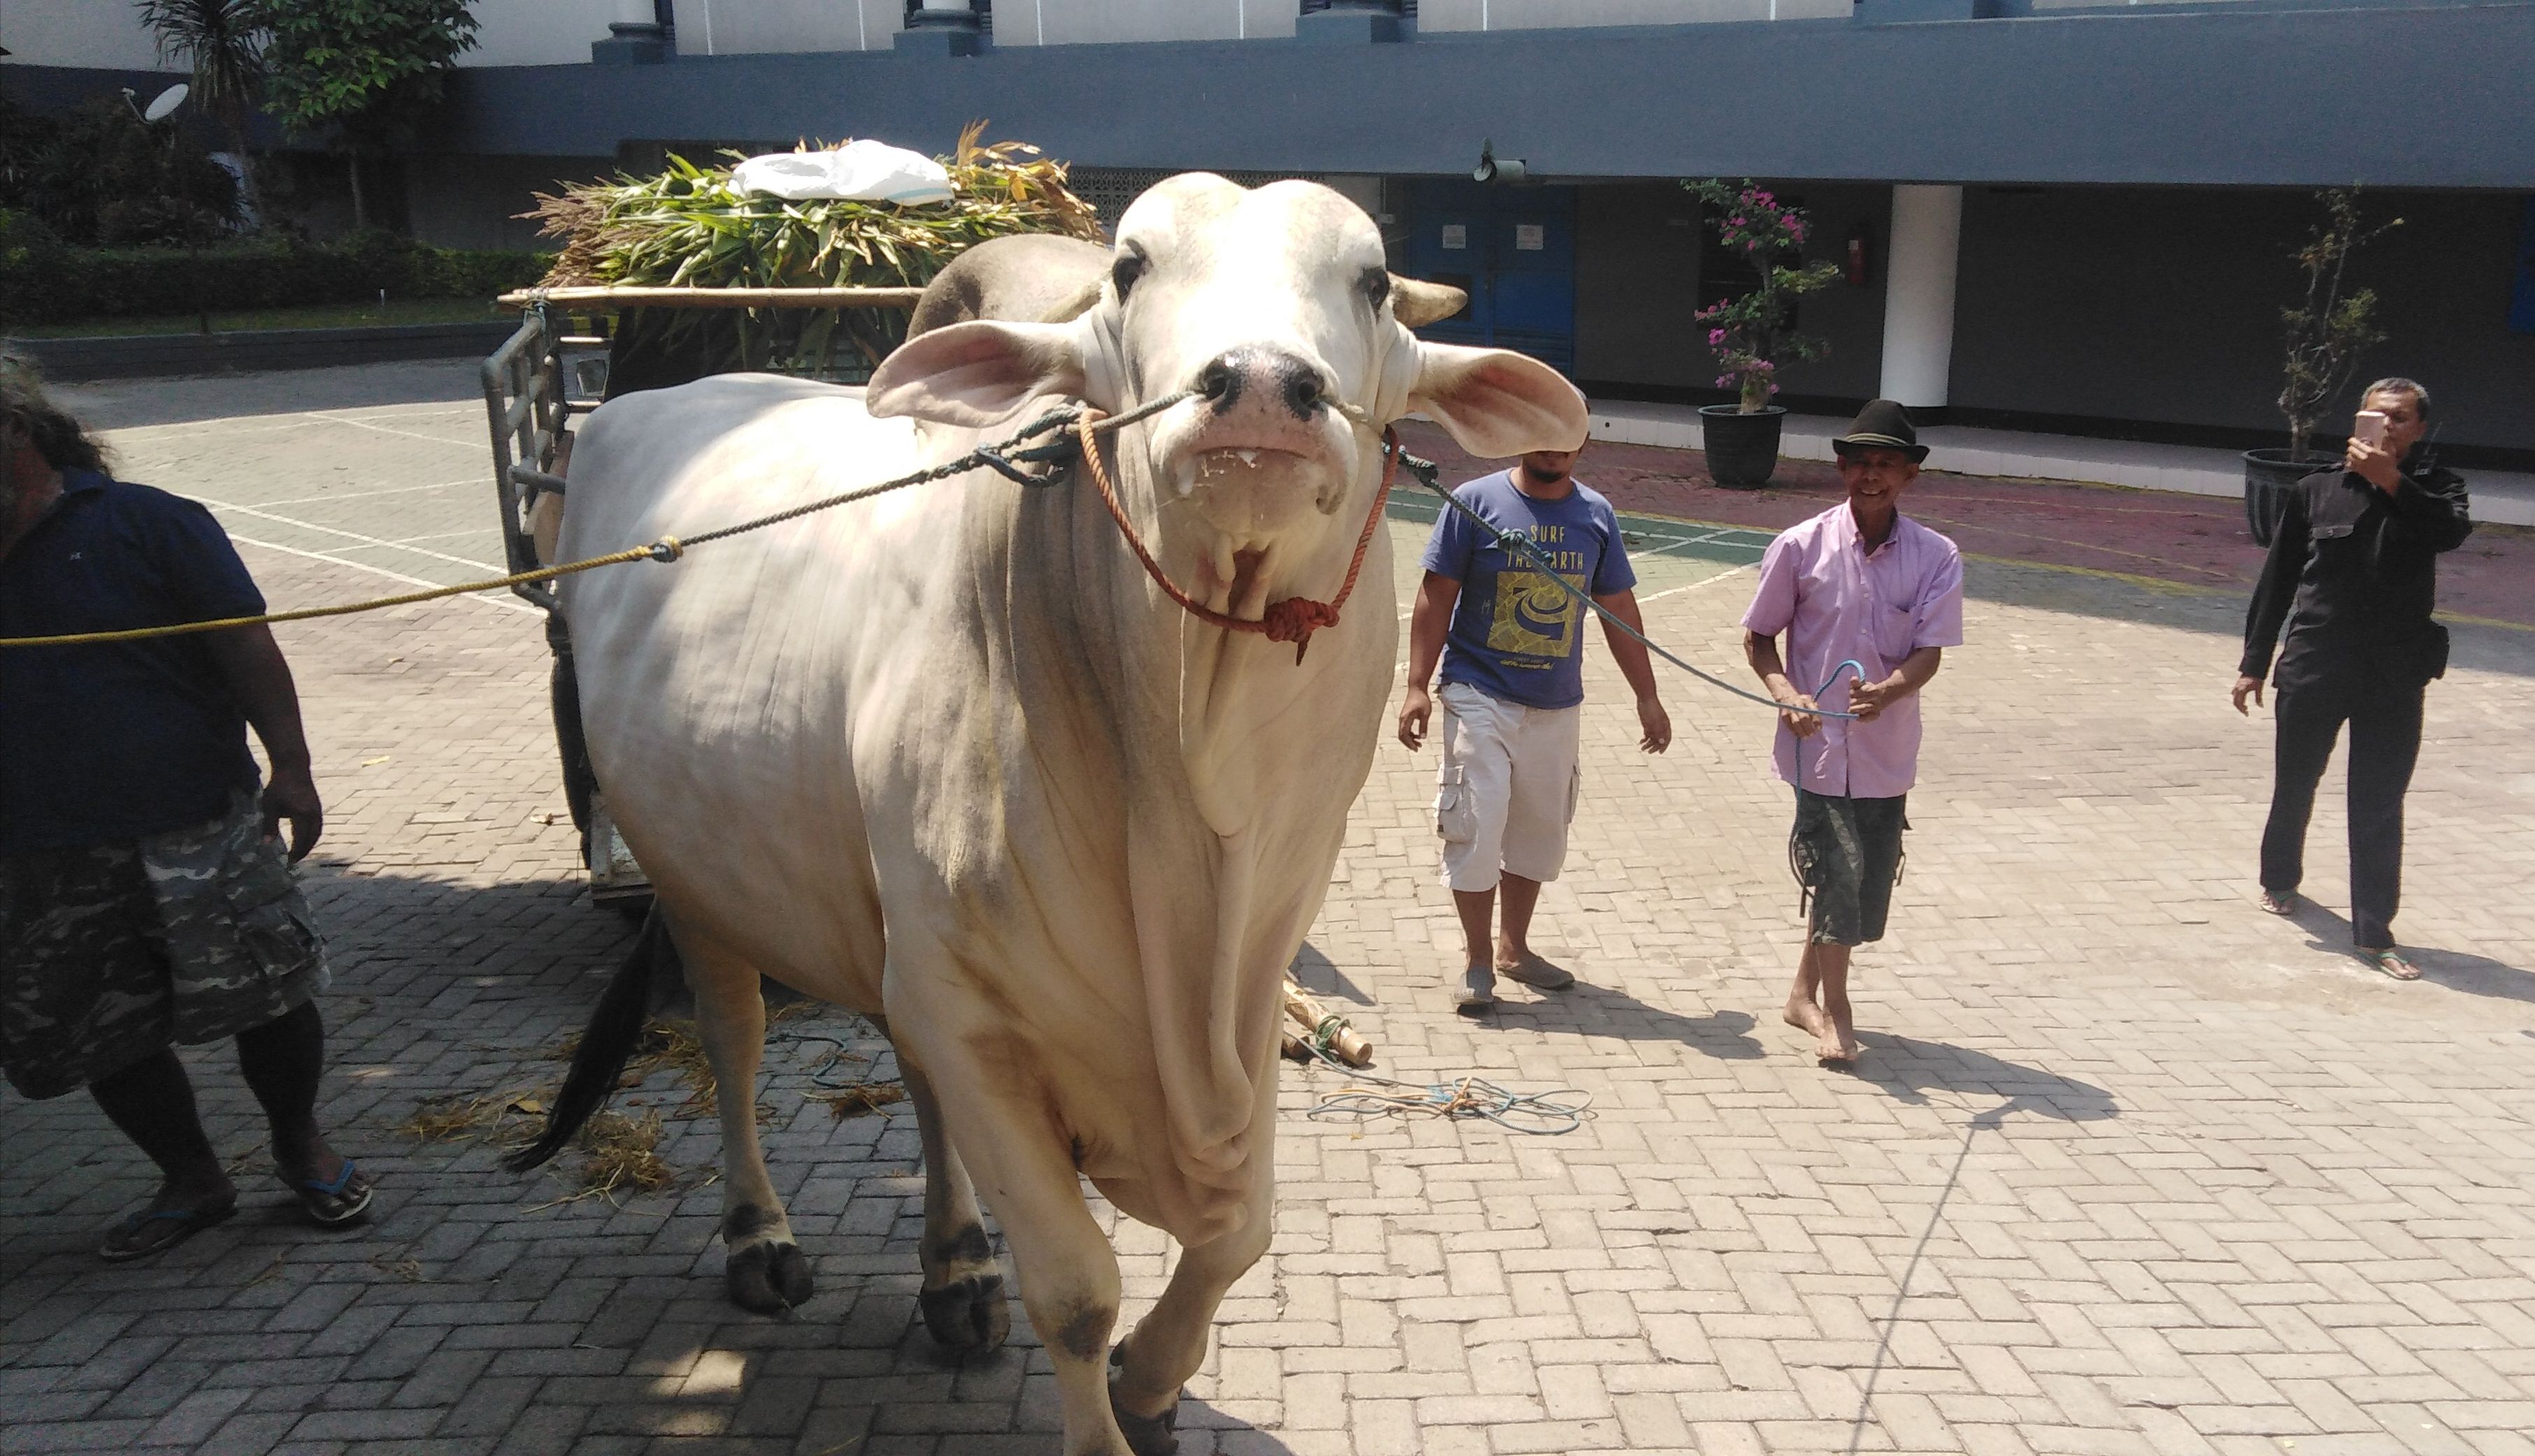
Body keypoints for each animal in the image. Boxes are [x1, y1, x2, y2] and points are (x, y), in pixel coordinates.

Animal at [517, 180, 1581, 1456]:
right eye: (1129, 268)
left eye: (1372, 281)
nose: (1262, 384)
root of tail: (637, 407)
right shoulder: (975, 1008)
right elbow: (1077, 1290)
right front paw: (1109, 1397)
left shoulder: (1236, 998)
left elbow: (1240, 1232)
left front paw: (1153, 1383)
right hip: (694, 882)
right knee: (736, 1038)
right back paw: (761, 1237)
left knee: (909, 1073)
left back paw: (957, 1269)